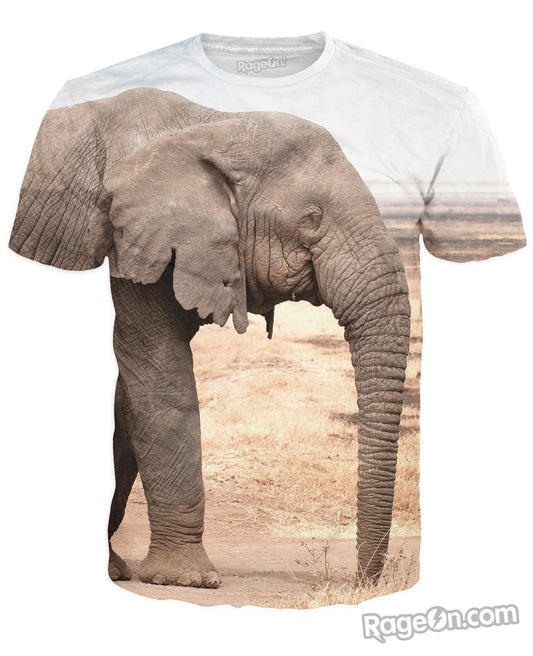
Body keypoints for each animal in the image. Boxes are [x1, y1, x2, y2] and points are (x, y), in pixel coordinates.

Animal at [9, 87, 411, 588]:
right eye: (312, 219)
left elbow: (129, 396)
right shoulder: (140, 238)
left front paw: (119, 570)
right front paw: (188, 579)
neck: (214, 126)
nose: (361, 583)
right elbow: (162, 378)